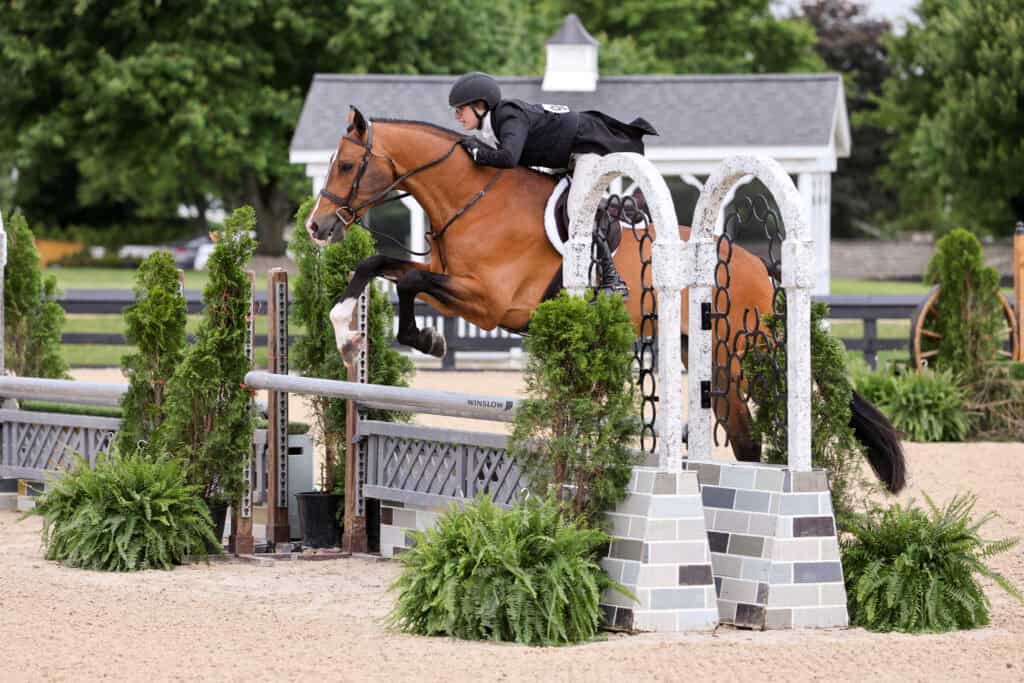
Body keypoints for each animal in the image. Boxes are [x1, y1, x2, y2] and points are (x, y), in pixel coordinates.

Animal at [305, 107, 906, 493]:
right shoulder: (453, 285)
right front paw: (348, 328)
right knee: (742, 434)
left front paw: (418, 339)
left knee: (752, 429)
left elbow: (407, 284)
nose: (316, 226)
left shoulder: (488, 302)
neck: (473, 198)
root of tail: (759, 264)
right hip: (699, 352)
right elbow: (379, 268)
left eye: (345, 166)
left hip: (740, 350)